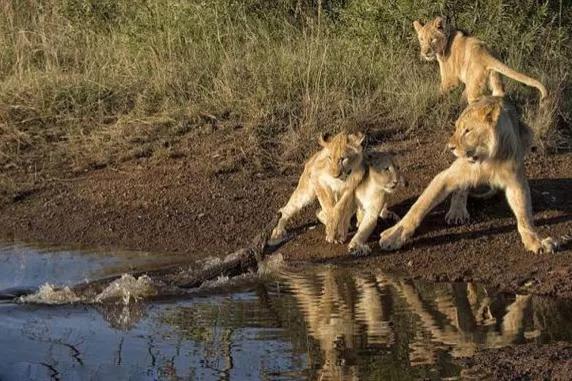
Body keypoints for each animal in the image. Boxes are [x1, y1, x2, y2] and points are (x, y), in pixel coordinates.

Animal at [378, 96, 556, 254]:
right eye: (456, 128)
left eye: (468, 131)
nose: (450, 147)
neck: (487, 159)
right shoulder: (445, 176)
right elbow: (419, 206)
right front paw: (394, 235)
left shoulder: (515, 183)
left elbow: (524, 215)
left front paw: (535, 241)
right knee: (460, 188)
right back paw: (457, 212)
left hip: (527, 134)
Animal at [414, 16, 548, 103]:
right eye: (421, 39)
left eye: (432, 39)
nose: (425, 52)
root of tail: (485, 53)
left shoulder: (451, 79)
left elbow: (440, 92)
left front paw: (431, 101)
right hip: (495, 77)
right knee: (499, 94)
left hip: (474, 84)